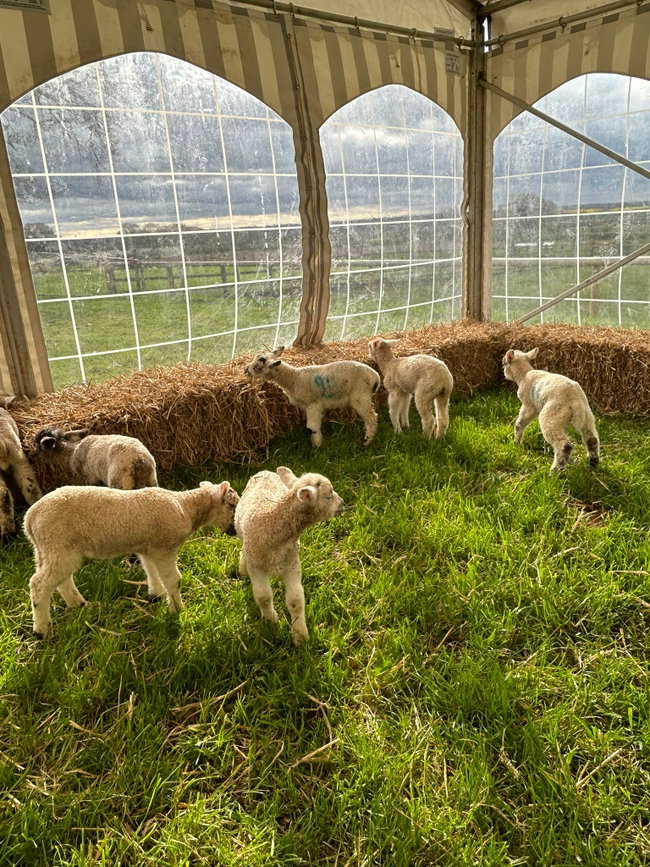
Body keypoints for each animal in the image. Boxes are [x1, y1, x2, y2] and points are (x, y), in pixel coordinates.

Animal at [24, 480, 240, 636]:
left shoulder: (148, 548)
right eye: (233, 505)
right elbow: (173, 580)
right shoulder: (165, 547)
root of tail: (30, 519)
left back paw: (79, 605)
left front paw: (155, 594)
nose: (236, 531)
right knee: (40, 584)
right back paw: (42, 629)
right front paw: (177, 610)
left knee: (60, 580)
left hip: (47, 550)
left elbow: (150, 570)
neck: (186, 507)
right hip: (59, 546)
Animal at [235, 466, 344, 645]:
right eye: (328, 495)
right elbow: (263, 597)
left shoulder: (292, 564)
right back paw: (242, 567)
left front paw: (300, 636)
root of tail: (264, 470)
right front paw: (271, 621)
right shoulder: (257, 567)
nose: (343, 504)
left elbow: (295, 600)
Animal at [245, 346, 380, 447]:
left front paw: (317, 446)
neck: (294, 378)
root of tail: (376, 377)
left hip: (361, 396)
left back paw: (367, 441)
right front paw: (318, 443)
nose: (246, 371)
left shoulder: (313, 404)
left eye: (258, 366)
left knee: (371, 417)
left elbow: (311, 427)